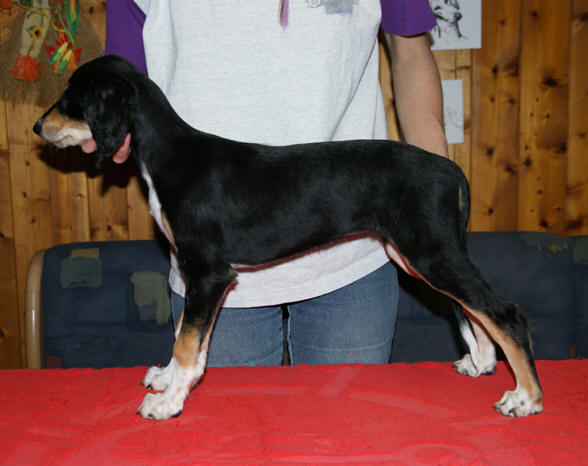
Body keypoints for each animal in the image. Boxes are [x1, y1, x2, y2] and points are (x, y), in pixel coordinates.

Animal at [33, 55, 542, 421]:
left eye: (71, 98)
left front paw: (168, 402)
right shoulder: (205, 279)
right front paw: (168, 380)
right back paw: (482, 362)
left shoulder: (209, 272)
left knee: (504, 312)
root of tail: (450, 168)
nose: (38, 128)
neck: (171, 155)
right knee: (474, 309)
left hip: (429, 251)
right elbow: (188, 335)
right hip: (419, 255)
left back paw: (525, 398)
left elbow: (187, 340)